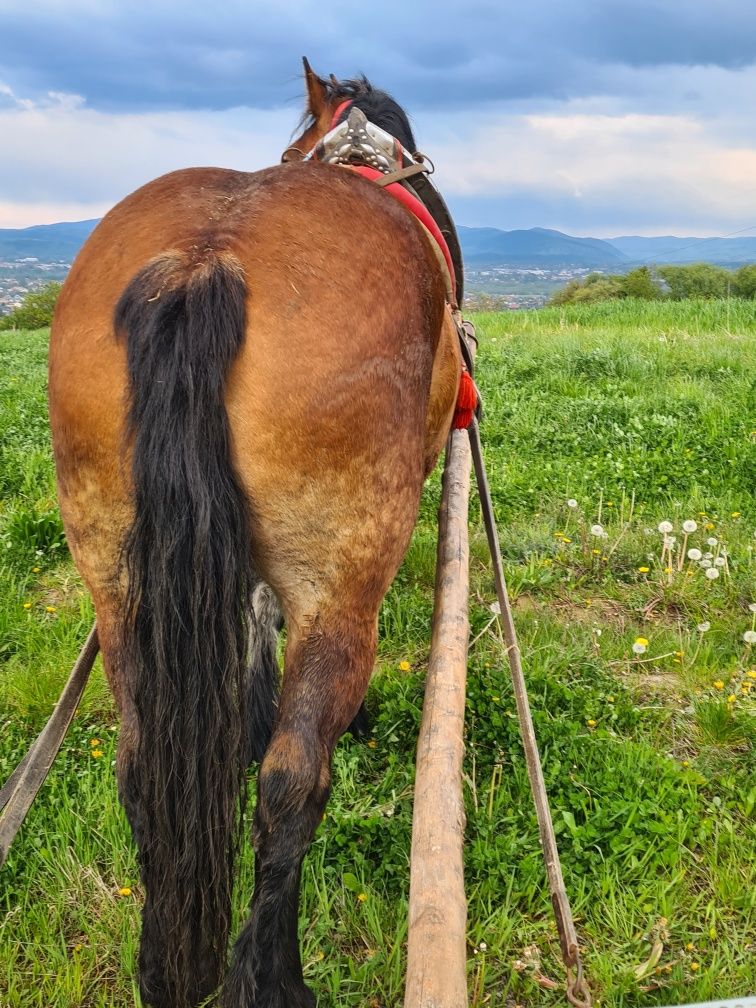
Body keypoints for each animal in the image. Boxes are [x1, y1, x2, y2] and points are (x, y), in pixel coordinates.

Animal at [47, 63, 461, 1008]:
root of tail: (209, 257)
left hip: (117, 584)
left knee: (140, 768)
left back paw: (162, 967)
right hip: (343, 592)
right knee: (291, 780)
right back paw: (274, 978)